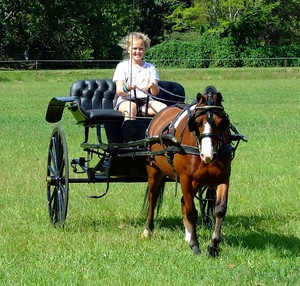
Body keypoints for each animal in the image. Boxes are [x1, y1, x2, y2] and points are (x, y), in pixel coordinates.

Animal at [142, 85, 232, 256]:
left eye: (221, 122)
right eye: (196, 122)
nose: (208, 155)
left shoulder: (223, 178)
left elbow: (219, 210)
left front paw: (213, 246)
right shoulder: (186, 179)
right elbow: (192, 212)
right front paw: (196, 246)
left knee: (183, 201)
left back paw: (188, 235)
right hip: (154, 171)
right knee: (153, 198)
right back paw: (148, 230)